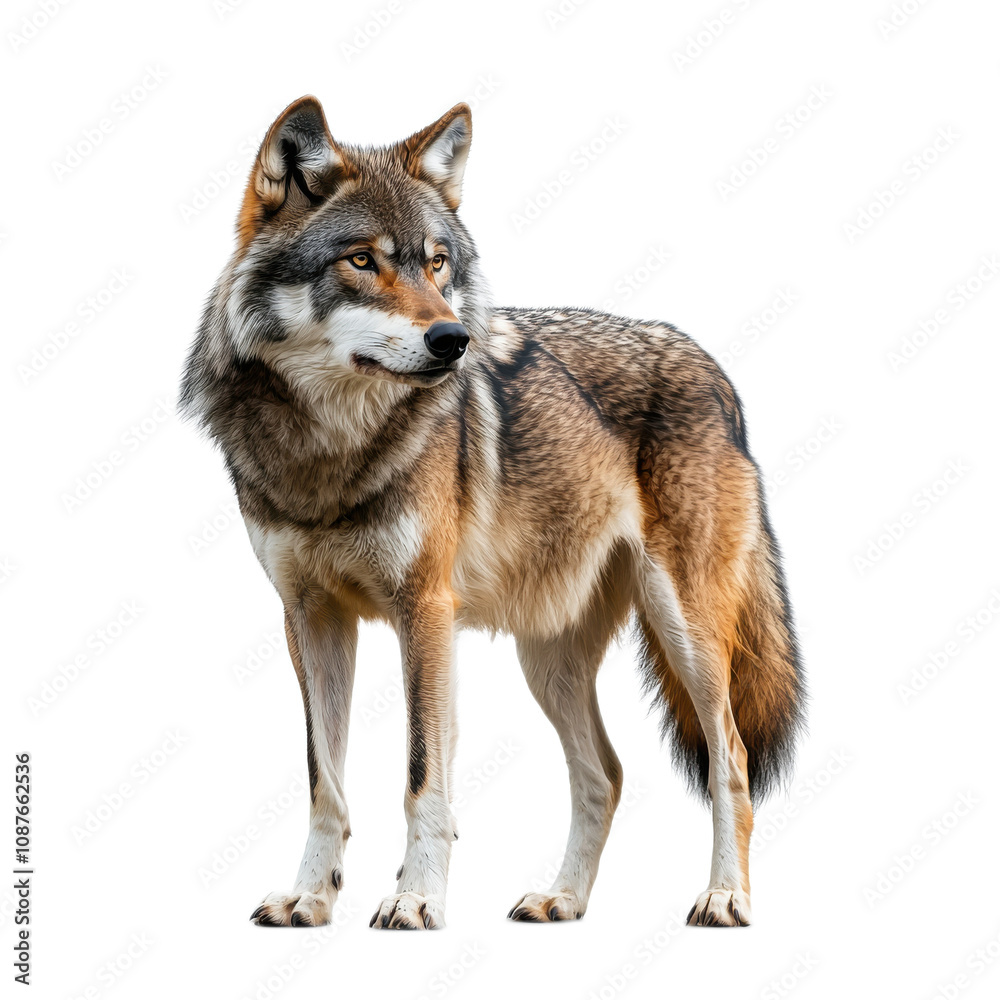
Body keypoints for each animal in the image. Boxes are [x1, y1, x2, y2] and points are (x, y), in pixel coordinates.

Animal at [181, 96, 804, 930]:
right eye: (362, 261)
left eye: (438, 262)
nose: (453, 338)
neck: (331, 451)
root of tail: (717, 371)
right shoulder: (309, 618)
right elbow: (324, 781)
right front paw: (311, 898)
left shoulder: (425, 610)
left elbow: (422, 778)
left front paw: (415, 899)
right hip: (548, 660)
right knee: (605, 772)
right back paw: (563, 898)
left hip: (687, 632)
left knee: (728, 757)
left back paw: (725, 896)